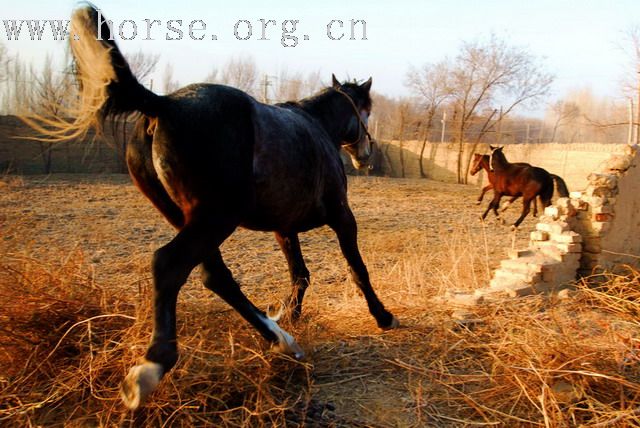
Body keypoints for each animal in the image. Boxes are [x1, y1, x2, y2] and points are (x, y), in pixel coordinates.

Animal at [38, 5, 396, 410]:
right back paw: (151, 367)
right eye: (367, 112)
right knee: (170, 264)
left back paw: (281, 340)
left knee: (216, 277)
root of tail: (164, 104)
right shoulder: (341, 217)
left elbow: (300, 275)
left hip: (189, 218)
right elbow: (357, 269)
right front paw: (383, 316)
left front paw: (292, 317)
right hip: (215, 218)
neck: (317, 128)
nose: (366, 156)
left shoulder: (284, 228)